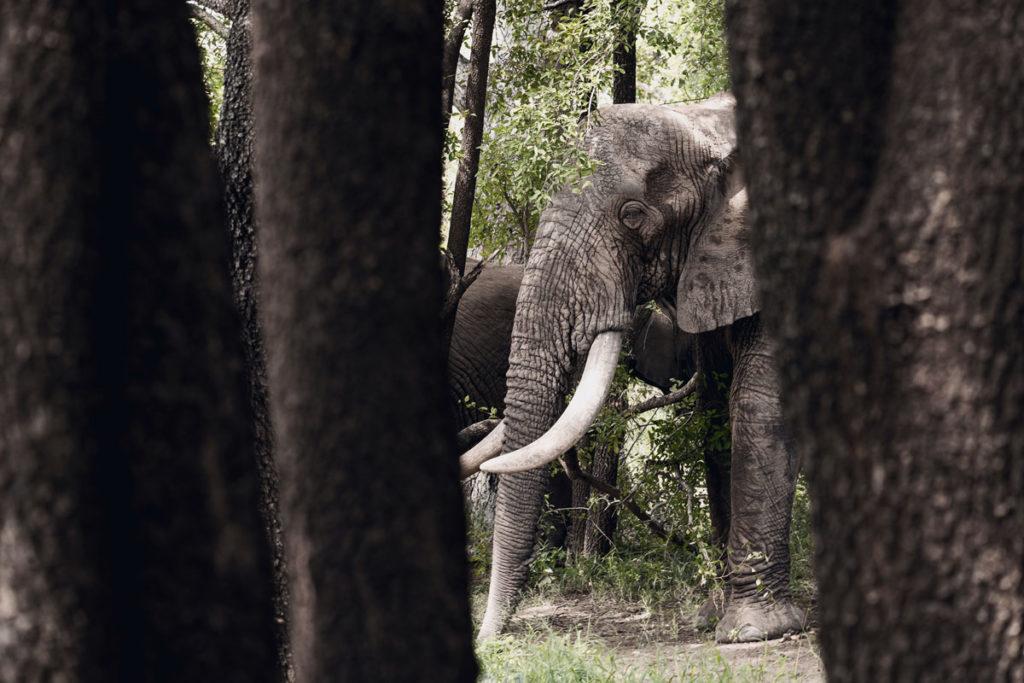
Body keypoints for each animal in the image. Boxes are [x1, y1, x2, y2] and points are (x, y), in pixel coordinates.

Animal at [461, 94, 806, 643]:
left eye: (632, 216)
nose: (487, 638)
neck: (704, 119)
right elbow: (716, 406)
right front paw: (711, 616)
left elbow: (758, 406)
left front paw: (751, 632)